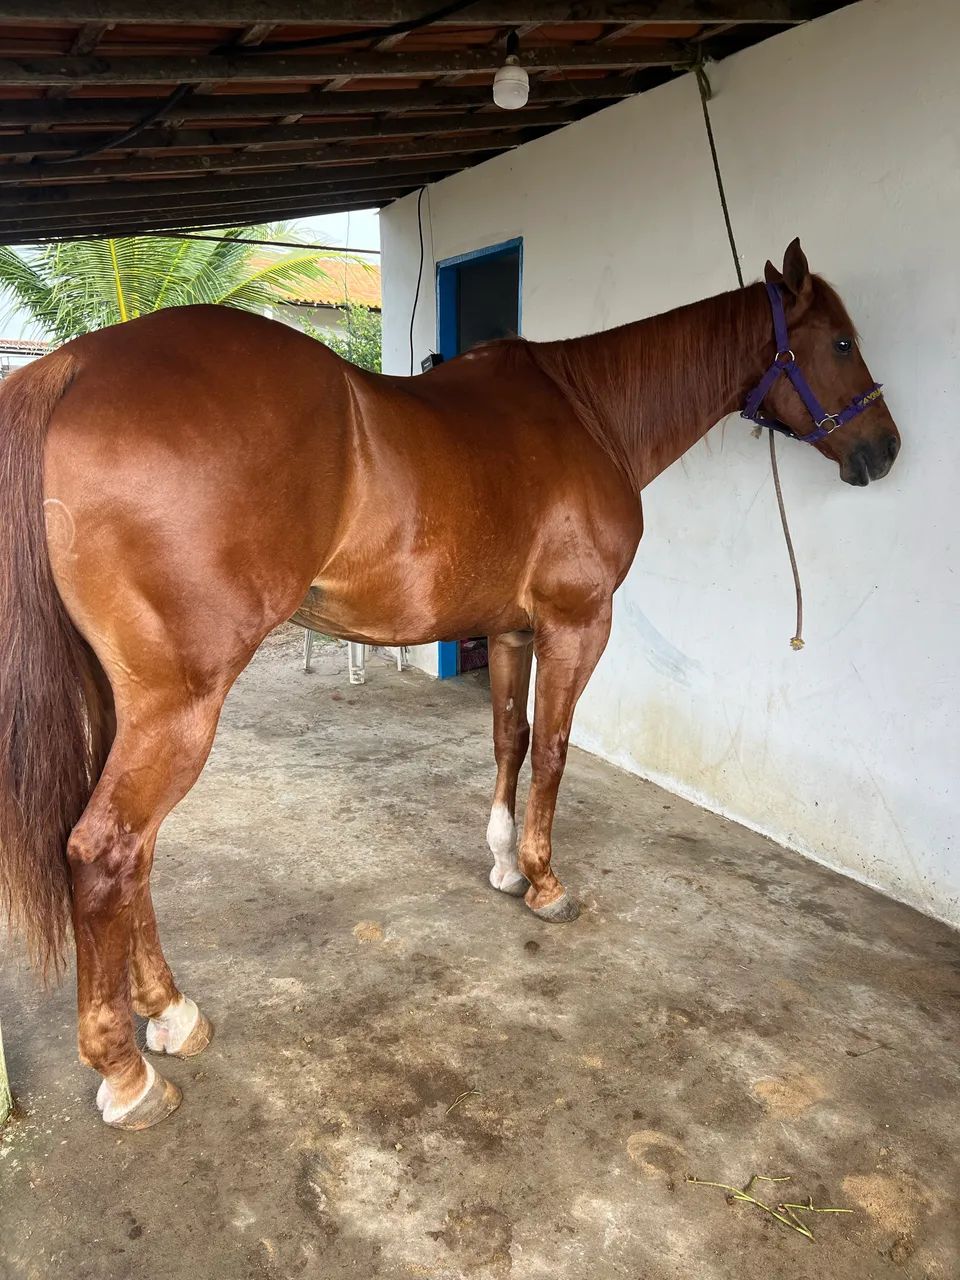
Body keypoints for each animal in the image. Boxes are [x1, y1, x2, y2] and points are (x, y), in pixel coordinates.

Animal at [0, 238, 900, 1130]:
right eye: (841, 342)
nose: (885, 450)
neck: (590, 413)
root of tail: (73, 367)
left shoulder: (510, 630)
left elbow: (510, 738)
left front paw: (503, 864)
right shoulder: (578, 625)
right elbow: (555, 751)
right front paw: (546, 883)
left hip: (129, 701)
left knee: (135, 855)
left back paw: (172, 1014)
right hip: (182, 702)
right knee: (106, 851)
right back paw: (127, 1074)